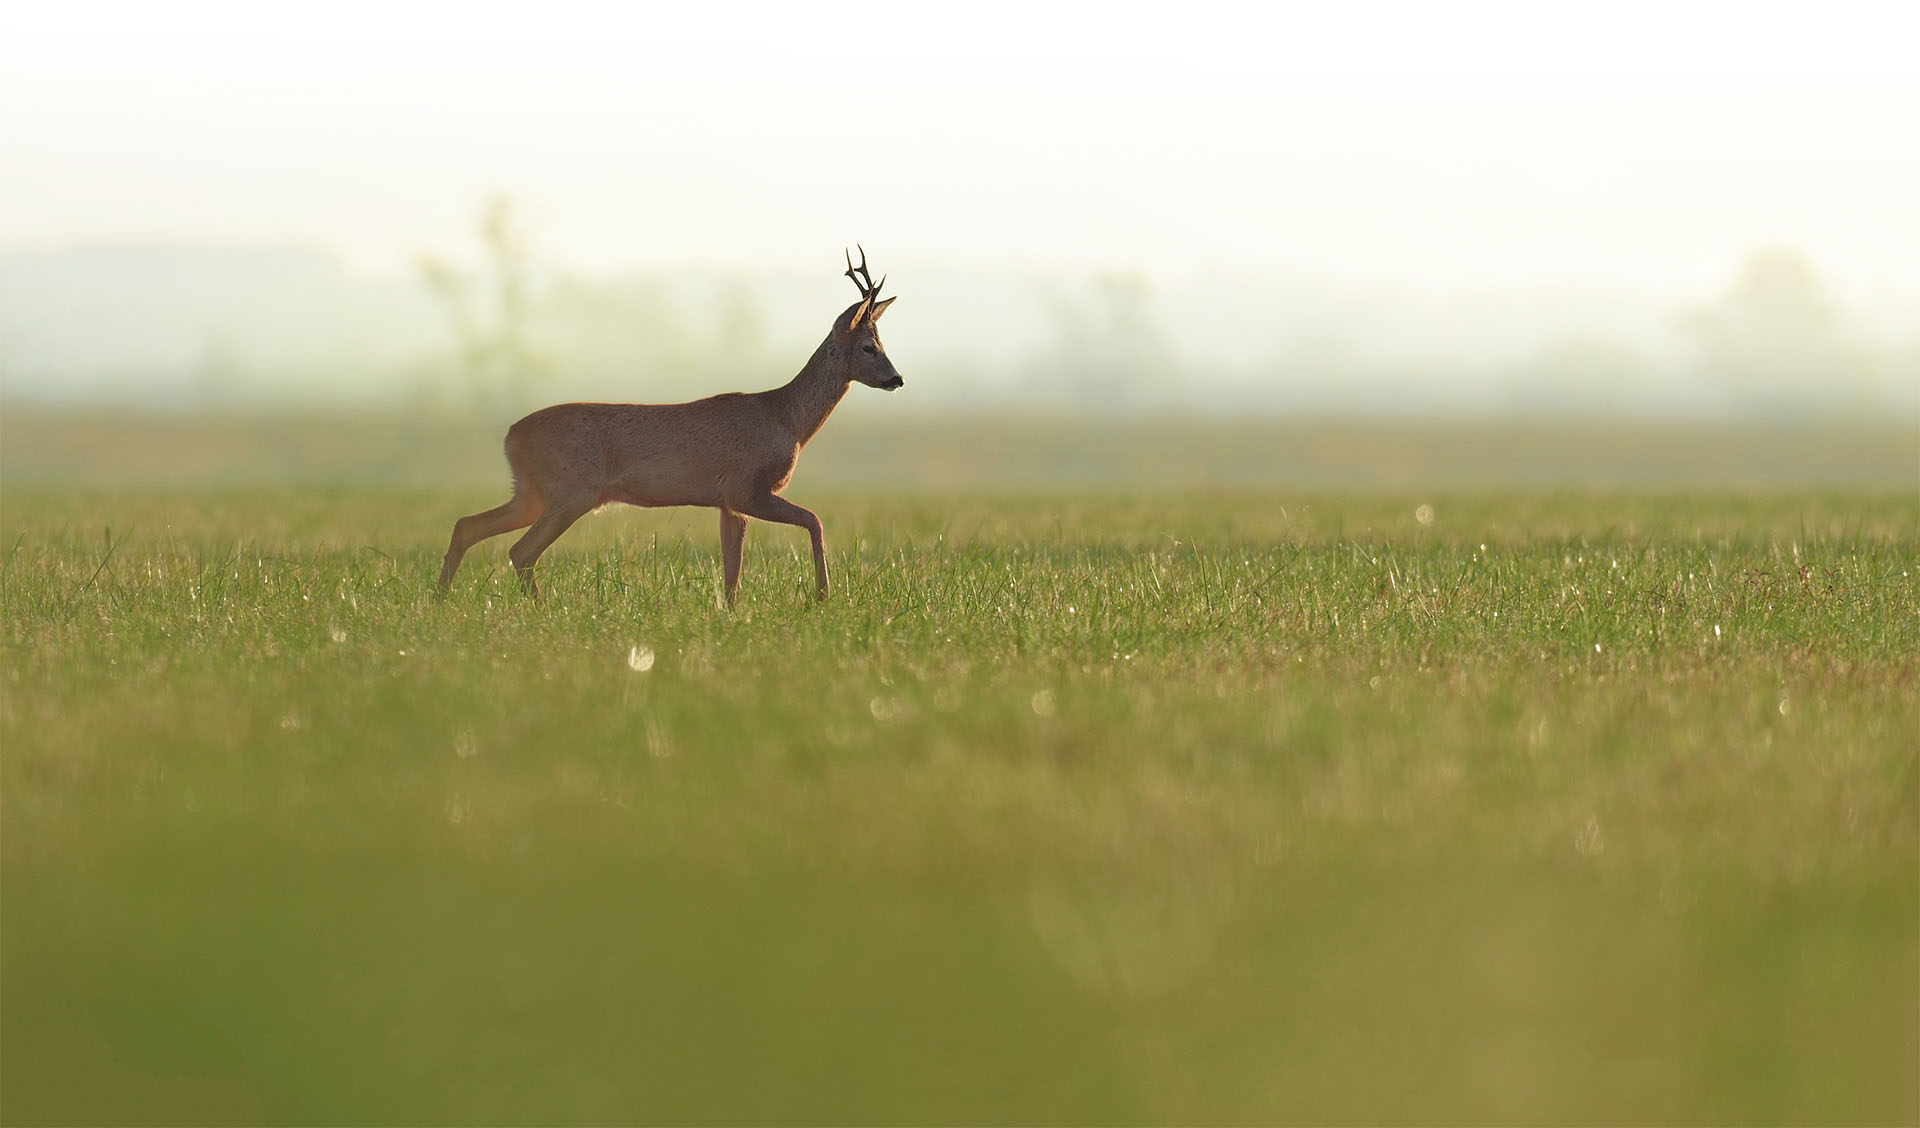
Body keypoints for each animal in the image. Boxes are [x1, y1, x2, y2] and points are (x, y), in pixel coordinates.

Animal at [439, 243, 902, 602]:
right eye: (868, 347)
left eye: (882, 344)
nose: (897, 379)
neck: (786, 419)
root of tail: (510, 436)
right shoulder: (747, 488)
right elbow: (814, 520)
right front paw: (822, 595)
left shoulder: (728, 503)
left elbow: (732, 572)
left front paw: (732, 614)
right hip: (570, 490)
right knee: (520, 551)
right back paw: (540, 609)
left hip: (532, 492)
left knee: (467, 525)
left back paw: (442, 599)